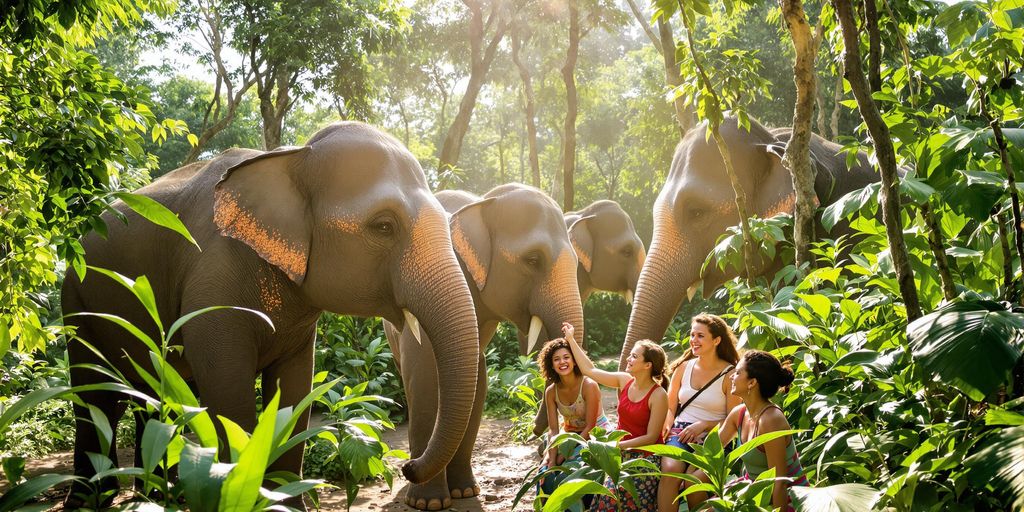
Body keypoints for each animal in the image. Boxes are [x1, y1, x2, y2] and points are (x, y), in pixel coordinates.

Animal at [59, 120, 479, 503]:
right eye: (384, 226)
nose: (407, 465)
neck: (292, 157)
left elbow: (294, 391)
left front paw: (285, 504)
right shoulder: (212, 287)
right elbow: (228, 392)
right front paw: (235, 494)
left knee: (147, 392)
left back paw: (160, 495)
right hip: (75, 299)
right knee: (96, 395)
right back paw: (92, 500)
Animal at [380, 183, 585, 507]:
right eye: (533, 260)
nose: (535, 429)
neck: (485, 203)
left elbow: (478, 384)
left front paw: (465, 493)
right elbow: (426, 383)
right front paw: (429, 504)